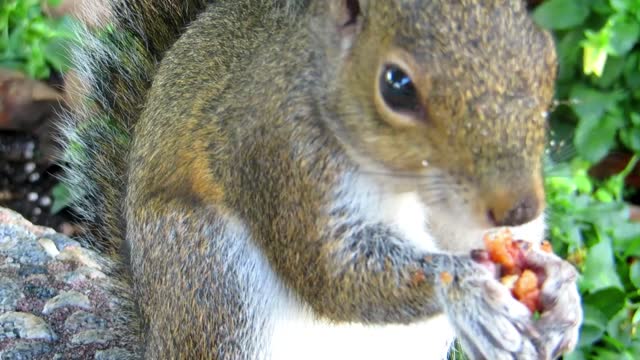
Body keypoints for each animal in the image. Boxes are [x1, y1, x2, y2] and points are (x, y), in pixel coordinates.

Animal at [61, 0, 584, 358]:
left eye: (548, 59)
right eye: (396, 86)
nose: (521, 205)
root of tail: (154, 335)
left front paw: (560, 284)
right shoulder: (279, 155)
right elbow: (333, 275)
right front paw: (466, 288)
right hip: (210, 278)